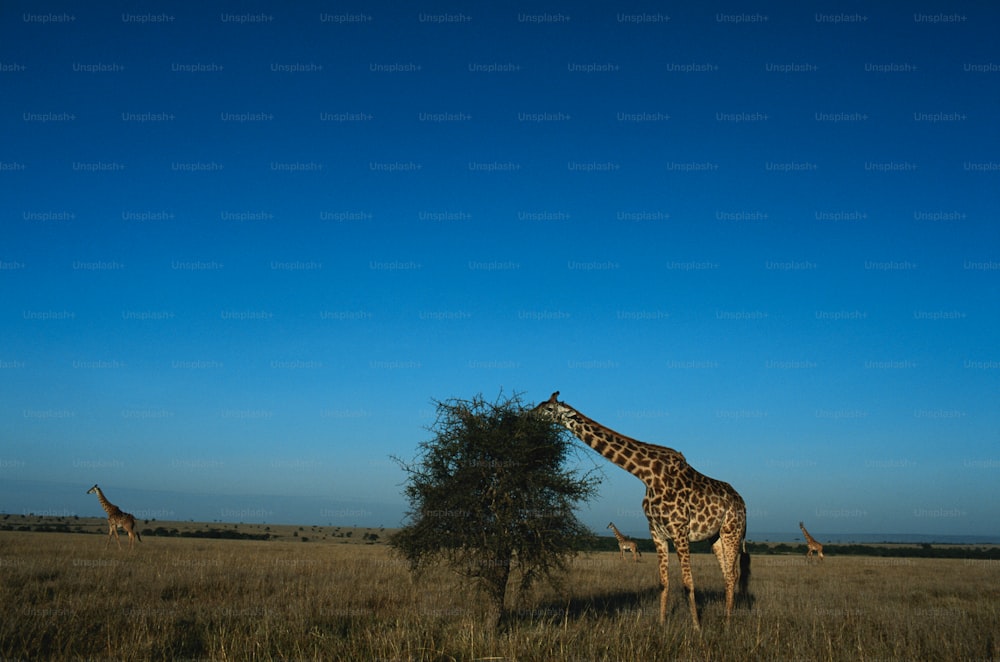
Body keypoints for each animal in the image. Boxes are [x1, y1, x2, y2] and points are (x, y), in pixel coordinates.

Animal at [536, 394, 748, 632]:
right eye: (540, 404)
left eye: (549, 409)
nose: (529, 415)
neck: (647, 475)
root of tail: (742, 502)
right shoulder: (656, 531)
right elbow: (663, 582)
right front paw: (662, 624)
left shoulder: (679, 530)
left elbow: (688, 583)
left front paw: (696, 627)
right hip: (715, 537)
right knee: (728, 574)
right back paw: (725, 618)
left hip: (732, 531)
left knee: (732, 575)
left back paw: (728, 624)